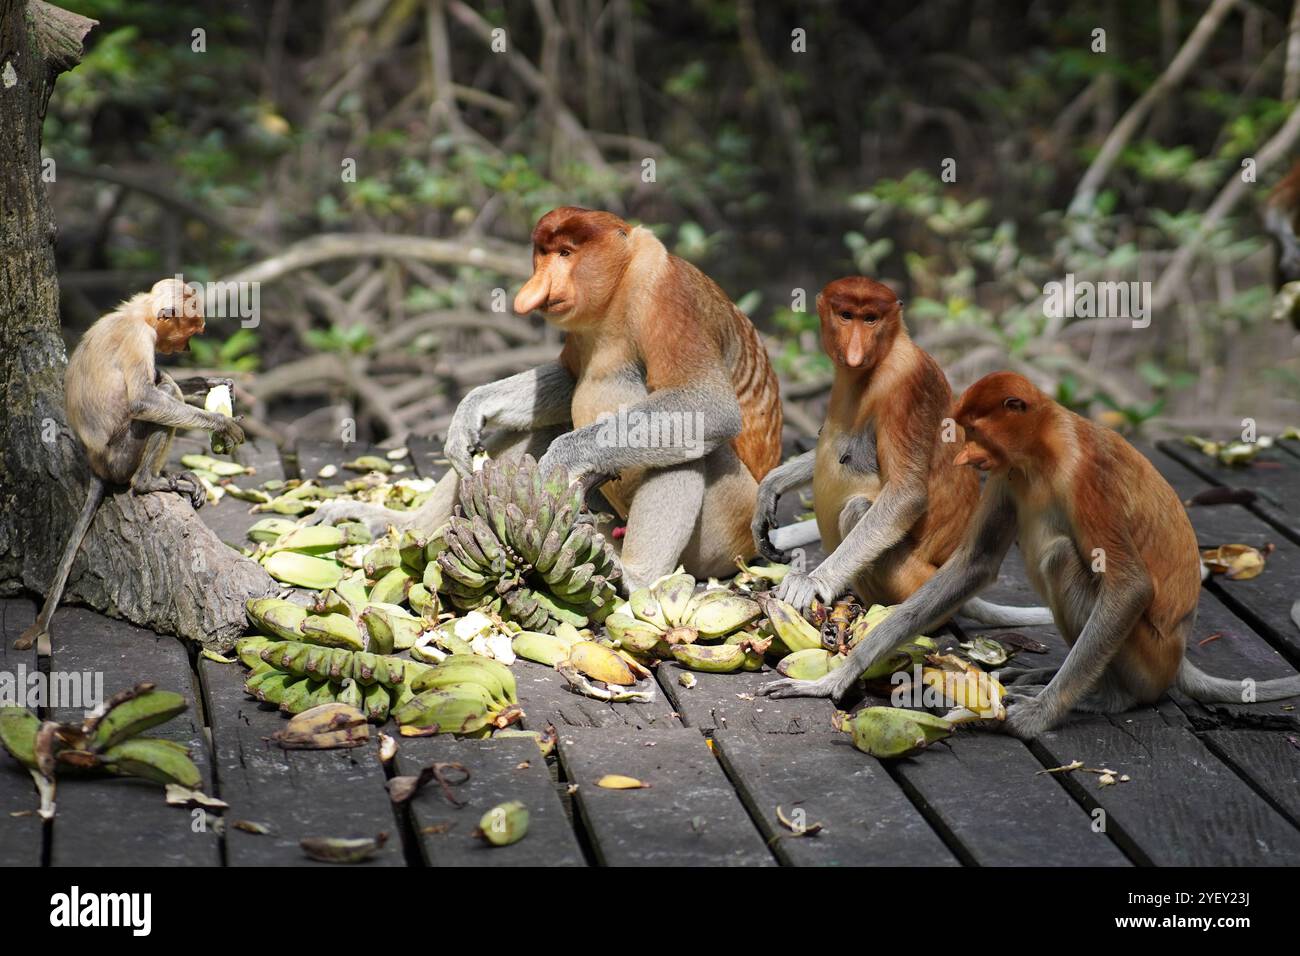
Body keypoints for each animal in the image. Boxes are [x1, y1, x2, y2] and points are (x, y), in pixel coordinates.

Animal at [15, 278, 246, 655]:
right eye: (191, 331)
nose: (187, 346)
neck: (135, 313)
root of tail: (96, 463)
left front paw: (213, 385)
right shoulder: (141, 338)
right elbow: (143, 399)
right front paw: (221, 423)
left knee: (164, 383)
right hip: (121, 455)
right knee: (162, 393)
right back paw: (149, 482)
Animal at [305, 207, 782, 590]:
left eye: (566, 254)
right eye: (543, 252)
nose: (536, 285)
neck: (619, 289)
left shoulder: (666, 294)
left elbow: (707, 405)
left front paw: (558, 462)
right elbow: (568, 381)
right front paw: (471, 410)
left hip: (726, 526)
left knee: (691, 447)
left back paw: (635, 576)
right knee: (542, 425)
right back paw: (402, 526)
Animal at [753, 278, 1051, 628]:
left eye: (870, 319)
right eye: (846, 315)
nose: (855, 352)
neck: (885, 355)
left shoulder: (905, 388)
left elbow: (906, 494)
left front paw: (812, 582)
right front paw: (770, 487)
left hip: (914, 579)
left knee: (857, 508)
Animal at [759, 371, 1300, 738]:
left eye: (974, 431)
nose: (965, 457)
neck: (1047, 448)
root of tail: (1180, 655)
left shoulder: (1087, 477)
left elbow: (1130, 585)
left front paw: (1034, 718)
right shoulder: (1007, 473)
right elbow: (974, 564)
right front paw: (841, 673)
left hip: (1148, 656)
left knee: (1062, 556)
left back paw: (1105, 698)